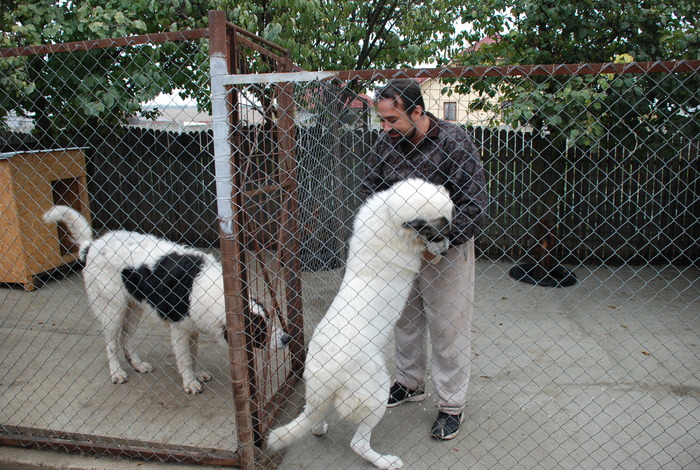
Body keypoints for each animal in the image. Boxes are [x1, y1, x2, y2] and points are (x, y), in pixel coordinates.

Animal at [43, 206, 290, 392]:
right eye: (258, 327)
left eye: (269, 318)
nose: (287, 338)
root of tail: (92, 245)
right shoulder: (179, 328)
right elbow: (184, 358)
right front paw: (190, 382)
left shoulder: (193, 327)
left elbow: (193, 355)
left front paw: (197, 373)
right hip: (114, 309)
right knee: (111, 342)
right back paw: (117, 372)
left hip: (134, 308)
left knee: (126, 337)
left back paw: (137, 364)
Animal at [266, 178, 454, 468]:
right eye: (437, 235)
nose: (445, 251)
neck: (388, 216)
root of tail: (324, 376)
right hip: (375, 391)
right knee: (359, 444)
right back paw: (384, 461)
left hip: (323, 394)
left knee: (315, 416)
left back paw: (319, 427)